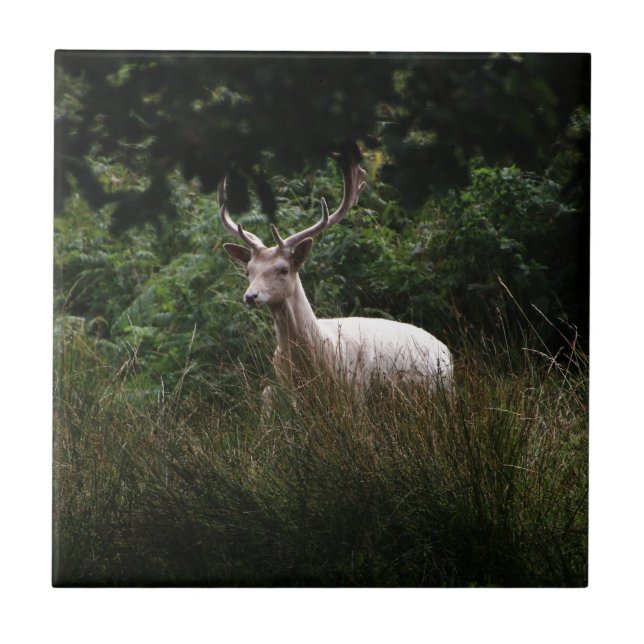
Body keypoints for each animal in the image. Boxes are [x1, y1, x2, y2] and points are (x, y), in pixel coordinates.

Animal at [219, 153, 453, 401]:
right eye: (248, 271)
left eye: (283, 269)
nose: (250, 296)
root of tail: (446, 349)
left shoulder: (355, 390)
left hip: (445, 390)